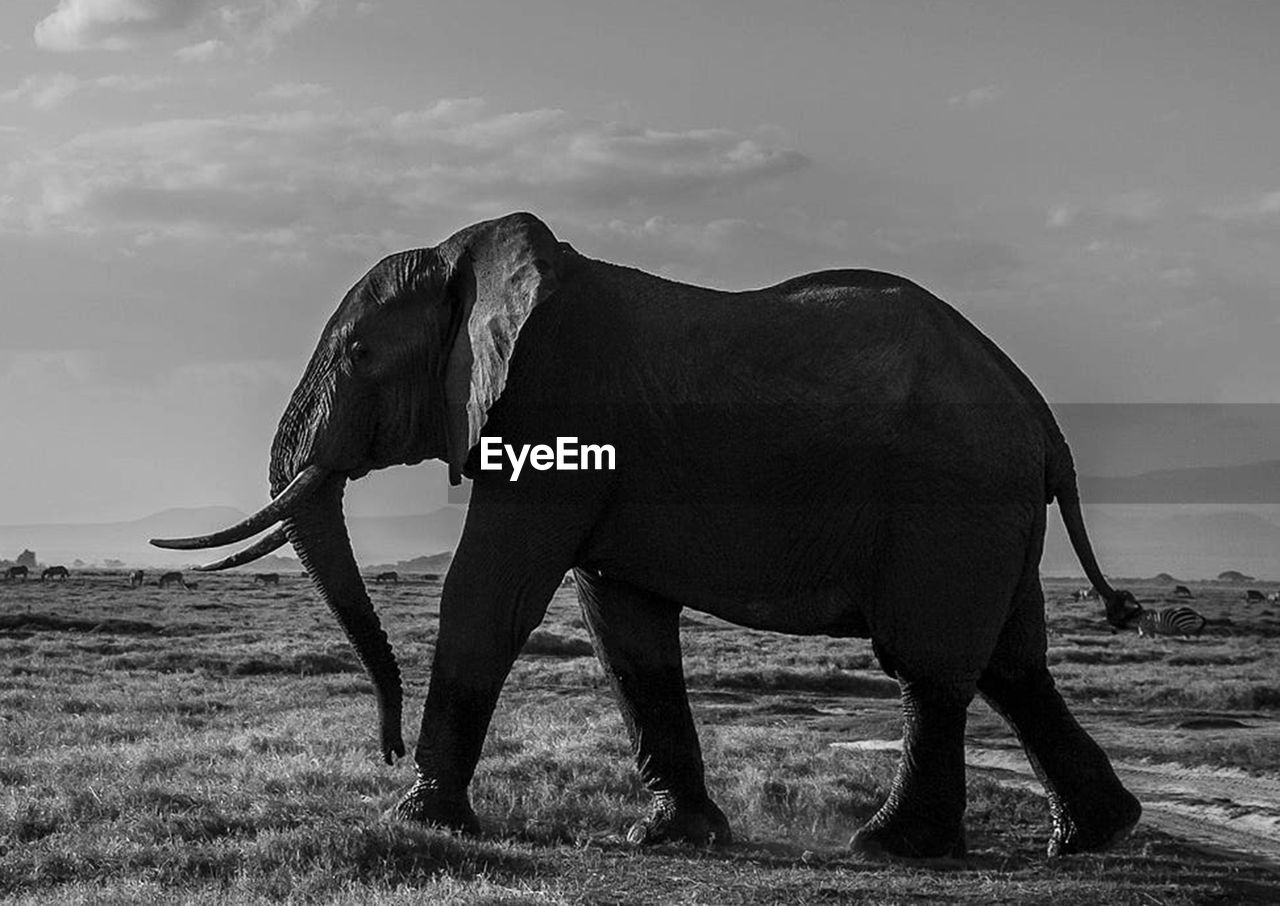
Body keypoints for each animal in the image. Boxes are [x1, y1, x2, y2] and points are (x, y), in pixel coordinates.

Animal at [154, 211, 1146, 854]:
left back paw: (891, 847)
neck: (467, 263)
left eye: (359, 354)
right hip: (990, 508)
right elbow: (621, 624)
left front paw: (417, 816)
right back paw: (1093, 835)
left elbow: (488, 592)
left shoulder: (553, 399)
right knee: (1015, 666)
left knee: (932, 667)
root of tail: (1042, 418)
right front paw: (669, 837)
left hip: (951, 499)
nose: (385, 745)